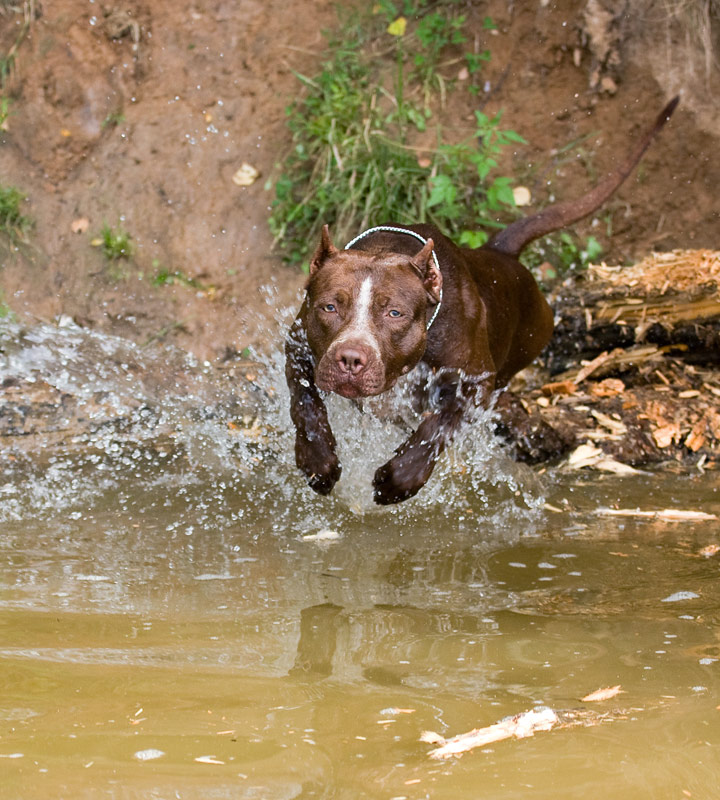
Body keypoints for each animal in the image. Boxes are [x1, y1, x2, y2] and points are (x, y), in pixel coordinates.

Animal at [284, 97, 676, 504]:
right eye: (329, 307)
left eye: (395, 313)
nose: (350, 358)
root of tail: (500, 251)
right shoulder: (298, 347)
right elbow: (306, 404)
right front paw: (317, 461)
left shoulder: (473, 383)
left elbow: (437, 427)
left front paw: (399, 479)